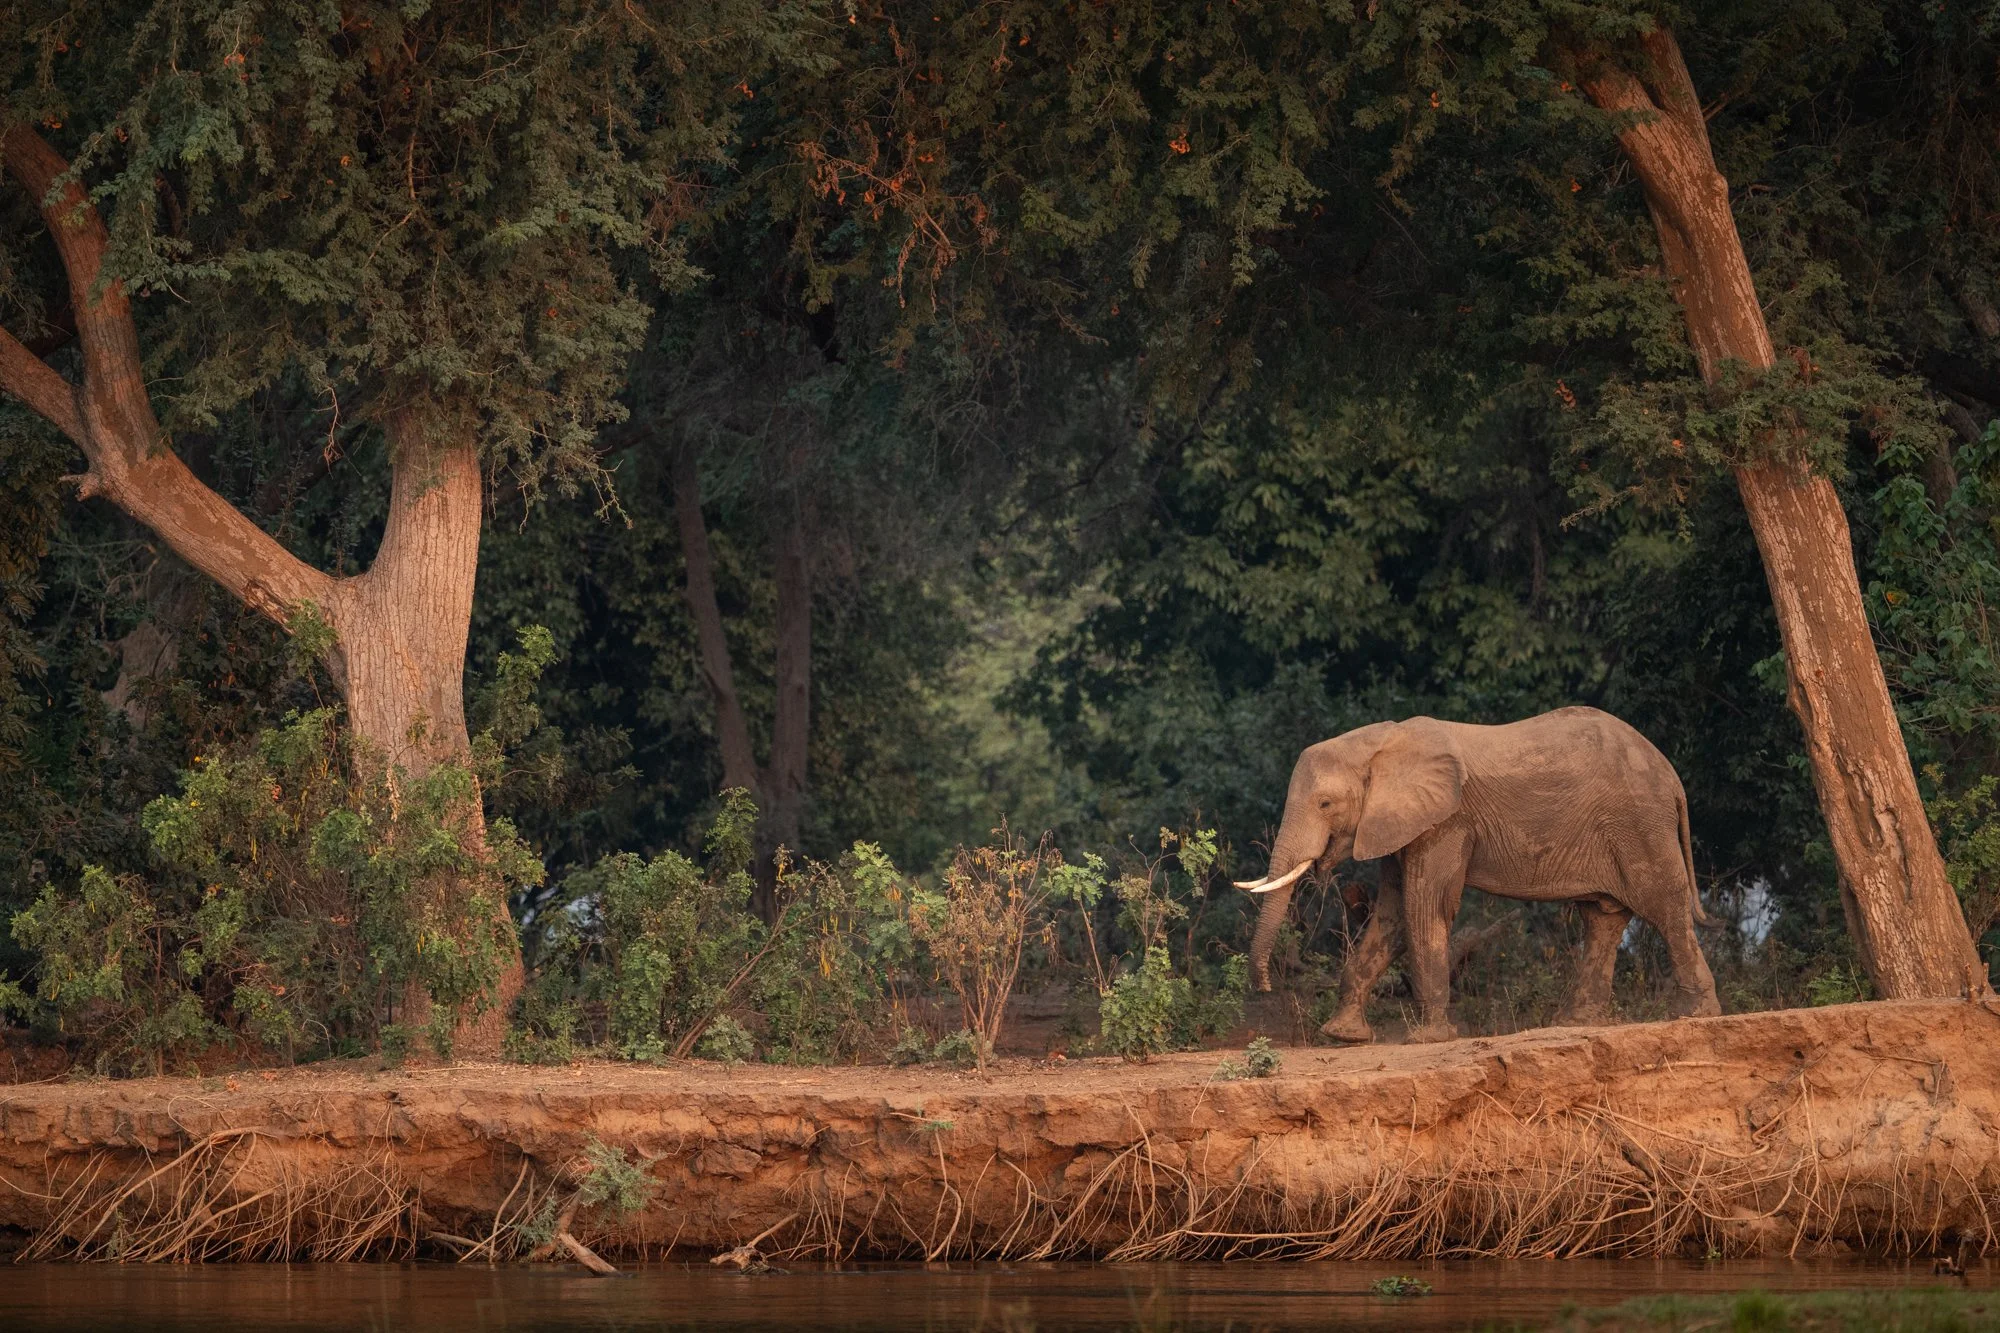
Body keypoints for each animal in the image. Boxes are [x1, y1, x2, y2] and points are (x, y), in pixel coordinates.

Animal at [1234, 707, 1719, 1043]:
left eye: (1325, 804)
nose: (1264, 985)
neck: (1382, 742)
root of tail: (1672, 777)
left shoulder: (1447, 822)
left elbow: (1423, 908)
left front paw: (1428, 1038)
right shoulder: (1403, 824)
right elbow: (1392, 917)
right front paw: (1343, 1036)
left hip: (1639, 825)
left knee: (1665, 906)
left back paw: (1697, 1015)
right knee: (1602, 918)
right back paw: (1573, 1023)